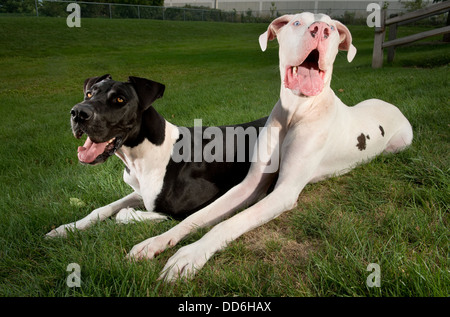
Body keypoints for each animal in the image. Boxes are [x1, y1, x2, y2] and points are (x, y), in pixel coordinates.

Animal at [46, 74, 268, 236]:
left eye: (120, 99)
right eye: (90, 94)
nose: (78, 113)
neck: (141, 156)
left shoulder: (208, 200)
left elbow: (129, 214)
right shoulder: (140, 190)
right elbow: (104, 208)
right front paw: (66, 228)